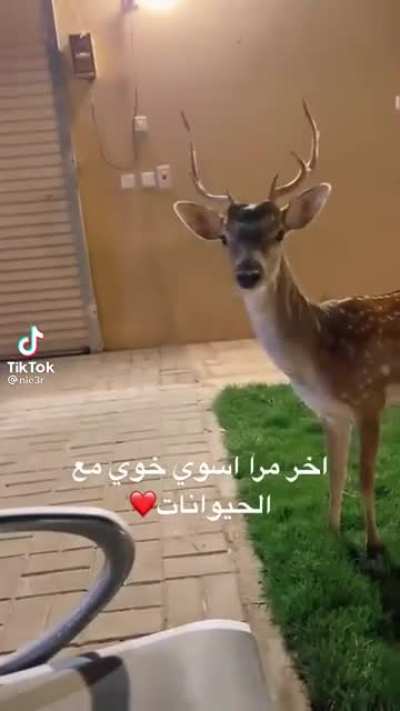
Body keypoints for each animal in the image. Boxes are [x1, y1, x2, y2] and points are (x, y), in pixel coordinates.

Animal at [173, 101, 400, 558]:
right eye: (223, 238)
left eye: (279, 232)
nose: (248, 273)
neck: (320, 351)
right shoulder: (330, 413)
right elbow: (334, 476)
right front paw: (332, 534)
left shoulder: (371, 397)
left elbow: (365, 479)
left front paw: (374, 545)